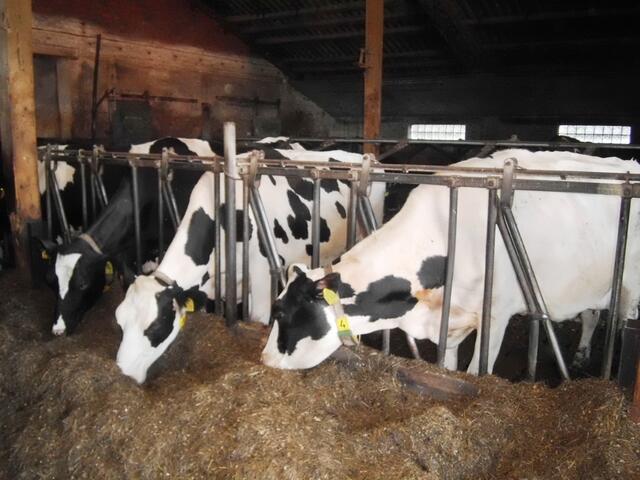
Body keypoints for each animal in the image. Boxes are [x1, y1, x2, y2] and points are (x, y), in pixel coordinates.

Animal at [261, 149, 640, 374]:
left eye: (282, 313)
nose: (263, 358)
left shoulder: (495, 316)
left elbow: (475, 373)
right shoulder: (449, 320)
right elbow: (447, 365)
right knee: (590, 314)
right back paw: (581, 354)